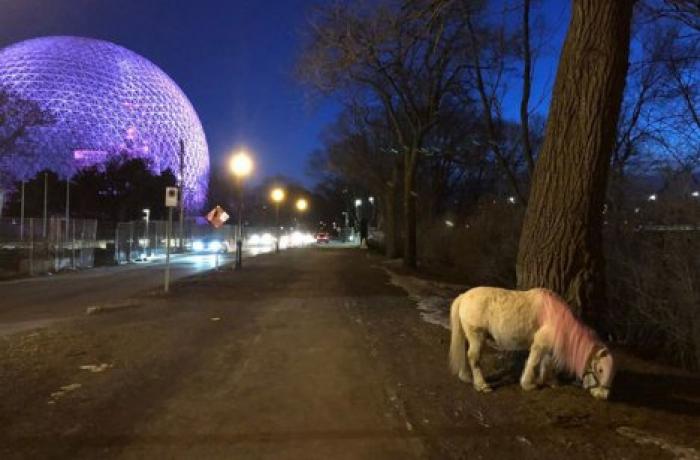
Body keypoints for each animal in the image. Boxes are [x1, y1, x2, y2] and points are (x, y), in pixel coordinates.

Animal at [452, 288, 616, 398]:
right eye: (600, 370)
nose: (603, 395)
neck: (557, 319)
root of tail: (463, 297)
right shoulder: (539, 344)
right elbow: (534, 362)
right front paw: (528, 384)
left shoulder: (549, 347)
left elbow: (547, 363)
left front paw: (549, 381)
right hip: (477, 336)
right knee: (473, 358)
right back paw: (482, 385)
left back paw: (466, 376)